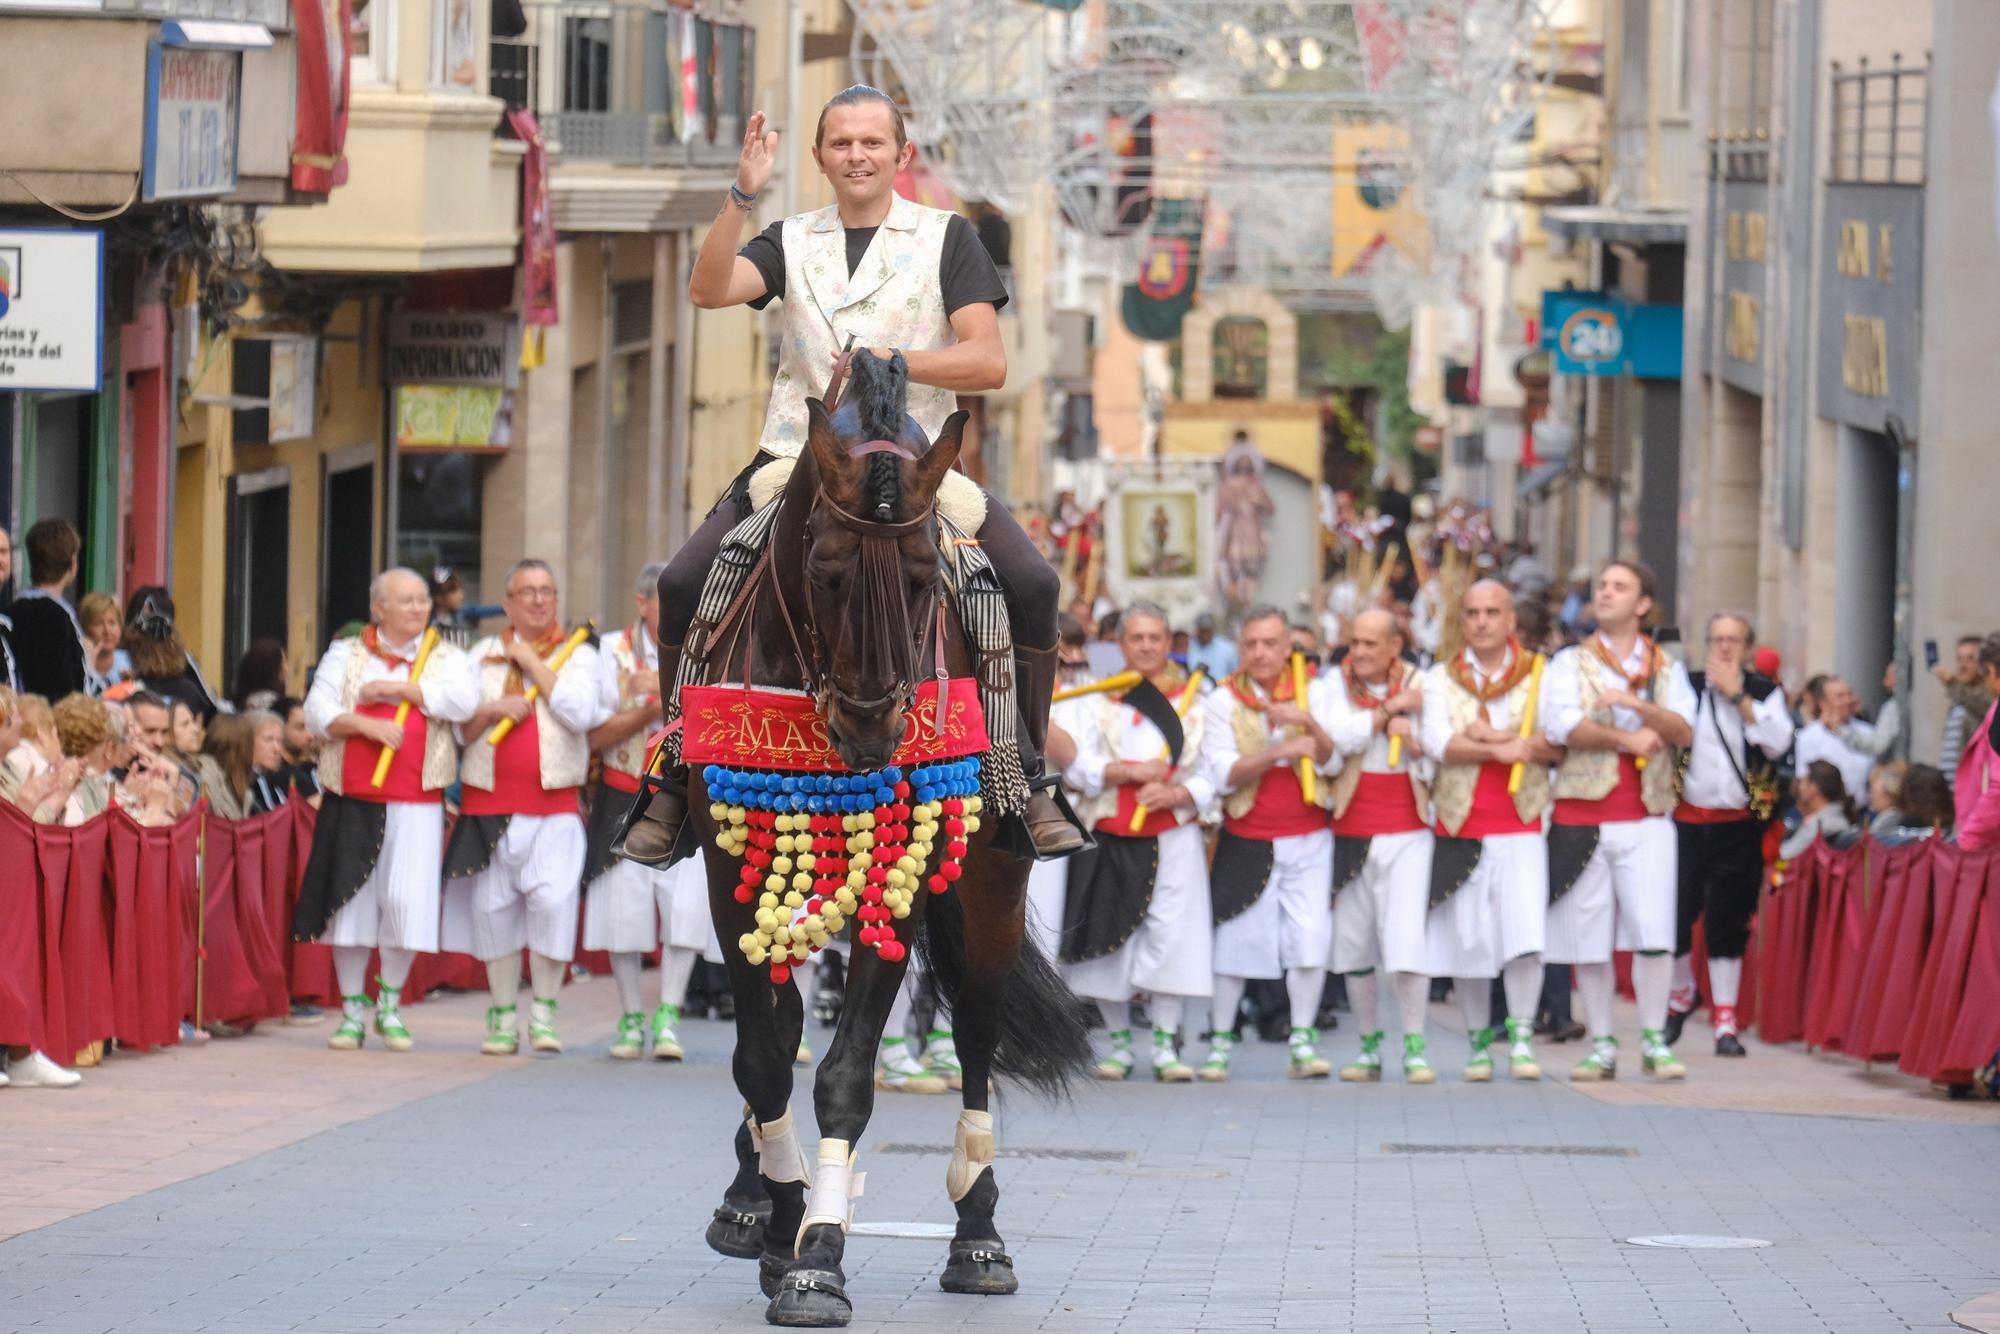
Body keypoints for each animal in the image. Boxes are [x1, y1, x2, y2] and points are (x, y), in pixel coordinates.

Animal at [692, 352, 1096, 1328]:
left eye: (921, 576)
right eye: (826, 570)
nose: (875, 726)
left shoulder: (898, 878)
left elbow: (845, 1076)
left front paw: (817, 1259)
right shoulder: (728, 879)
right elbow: (765, 1057)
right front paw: (780, 1221)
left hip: (993, 882)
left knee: (979, 1030)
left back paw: (979, 1235)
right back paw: (753, 1196)